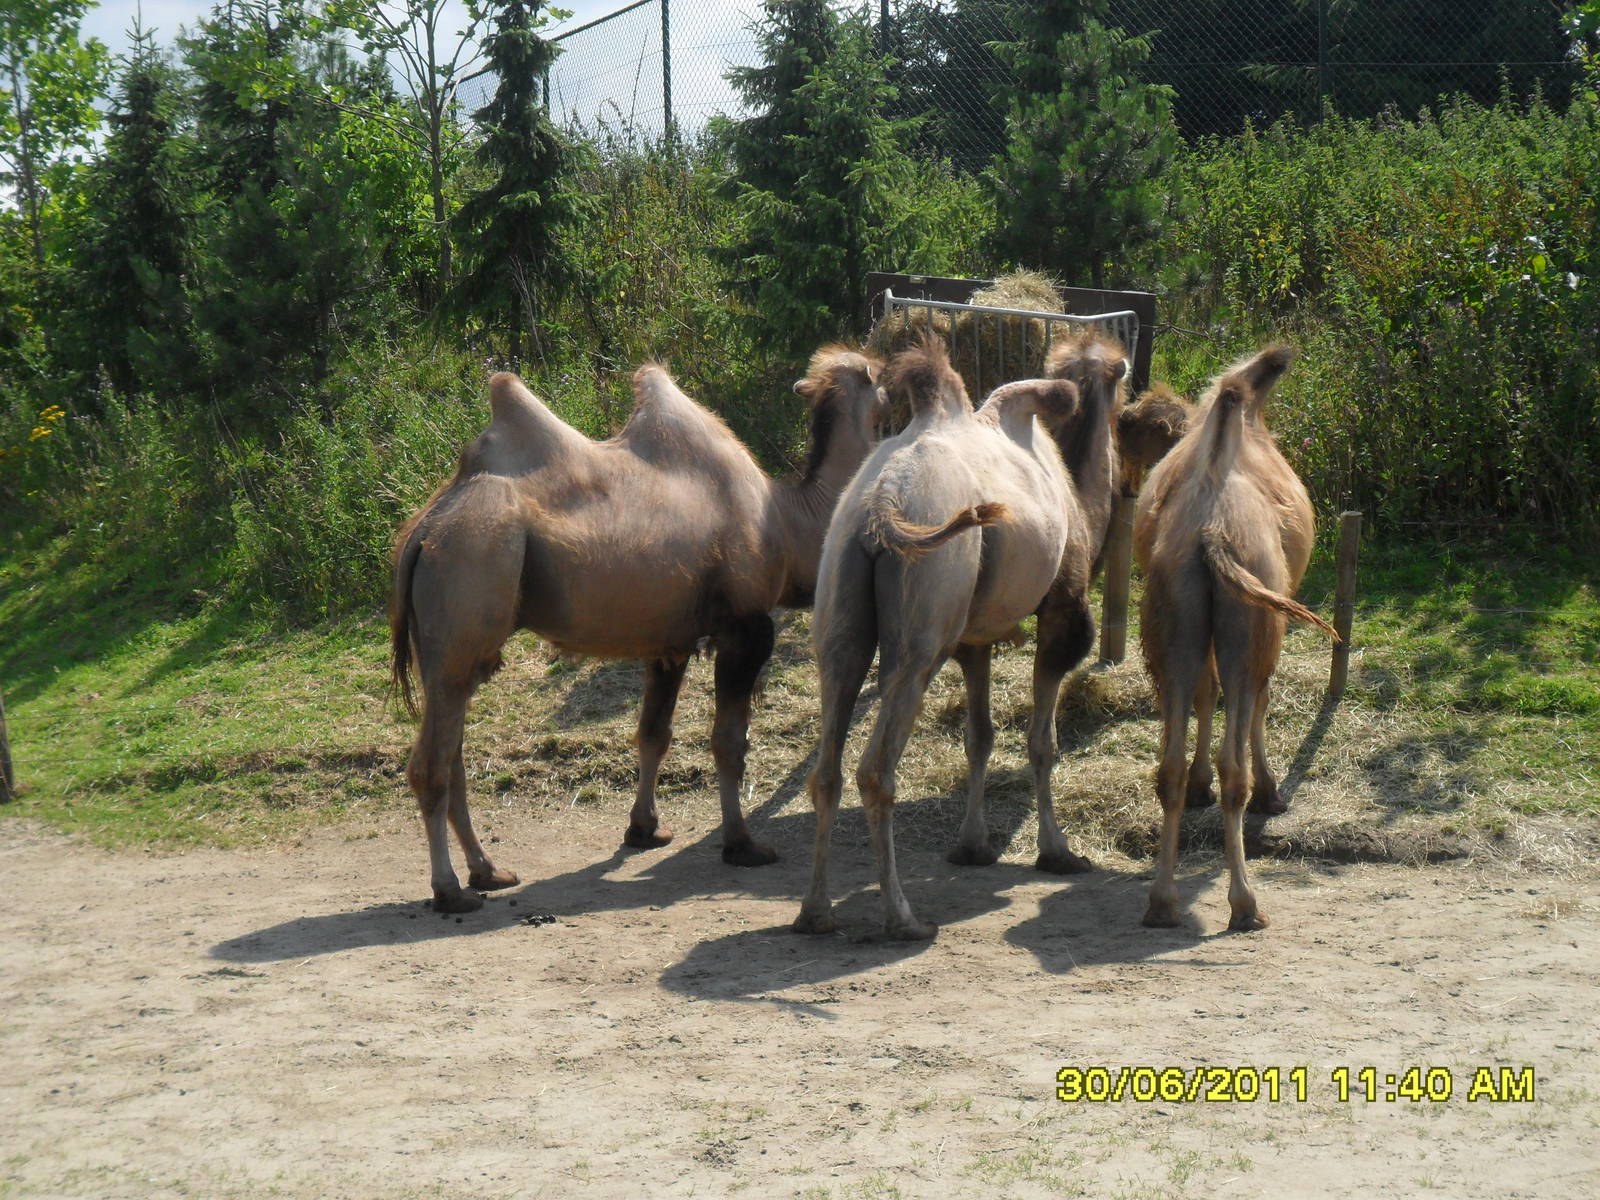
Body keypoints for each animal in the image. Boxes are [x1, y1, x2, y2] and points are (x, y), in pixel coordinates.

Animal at [390, 348, 886, 912]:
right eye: (883, 382)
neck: (788, 522)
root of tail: (423, 531)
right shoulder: (746, 629)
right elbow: (728, 742)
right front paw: (742, 844)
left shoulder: (668, 642)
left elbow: (653, 734)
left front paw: (644, 829)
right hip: (469, 578)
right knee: (431, 764)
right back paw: (450, 890)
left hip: (444, 645)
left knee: (452, 754)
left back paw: (488, 871)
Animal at [794, 339, 1082, 940]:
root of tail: (878, 504)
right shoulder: (1062, 608)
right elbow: (1042, 740)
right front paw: (1057, 852)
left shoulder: (973, 637)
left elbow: (980, 734)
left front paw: (973, 846)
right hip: (921, 636)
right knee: (877, 768)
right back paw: (902, 917)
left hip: (840, 610)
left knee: (827, 764)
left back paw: (815, 913)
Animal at [1134, 345, 1337, 931]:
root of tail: (1211, 534)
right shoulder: (1269, 625)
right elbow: (1258, 710)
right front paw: (1274, 793)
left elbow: (1206, 698)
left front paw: (1200, 783)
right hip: (1252, 630)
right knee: (1236, 762)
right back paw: (1245, 903)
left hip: (1173, 626)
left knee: (1169, 765)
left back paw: (1162, 901)